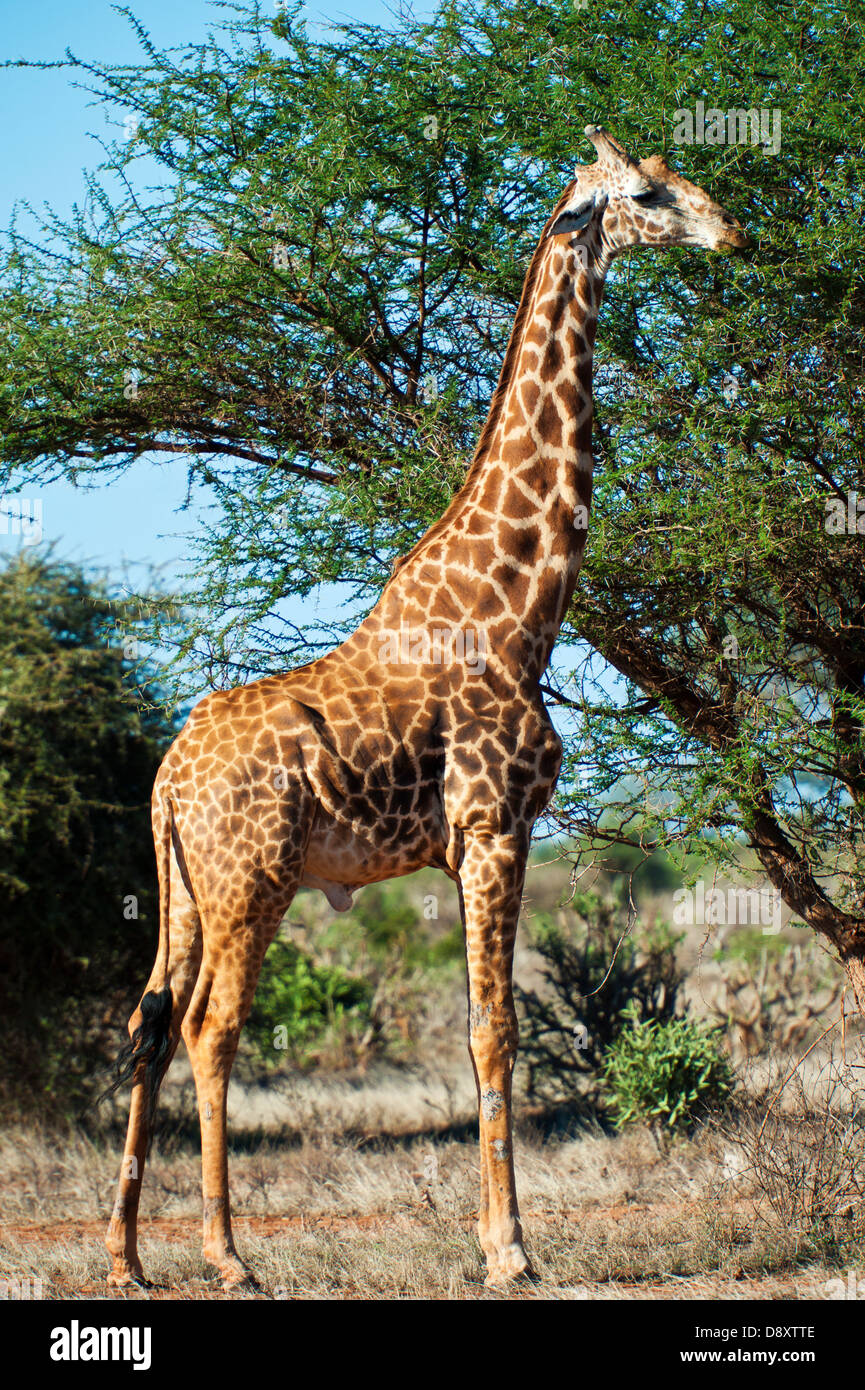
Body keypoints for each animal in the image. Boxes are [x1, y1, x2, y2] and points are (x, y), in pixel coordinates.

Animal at [104, 125, 750, 1284]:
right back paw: (229, 1258)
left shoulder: (462, 845)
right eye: (645, 193)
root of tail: (168, 778)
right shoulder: (495, 823)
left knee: (149, 1023)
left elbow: (479, 1025)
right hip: (252, 880)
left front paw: (498, 1242)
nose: (731, 231)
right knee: (213, 1029)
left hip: (181, 888)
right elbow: (497, 1031)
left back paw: (127, 1257)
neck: (516, 608)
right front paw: (512, 1253)